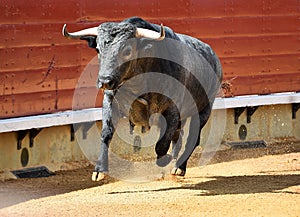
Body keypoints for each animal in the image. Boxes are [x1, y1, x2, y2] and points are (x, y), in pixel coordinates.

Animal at [62, 17, 223, 181]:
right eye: (98, 49)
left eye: (127, 51)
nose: (105, 81)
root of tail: (213, 56)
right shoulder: (110, 101)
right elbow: (106, 134)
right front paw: (99, 170)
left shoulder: (172, 108)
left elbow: (162, 143)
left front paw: (164, 160)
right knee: (178, 137)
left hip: (204, 110)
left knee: (192, 138)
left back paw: (179, 167)